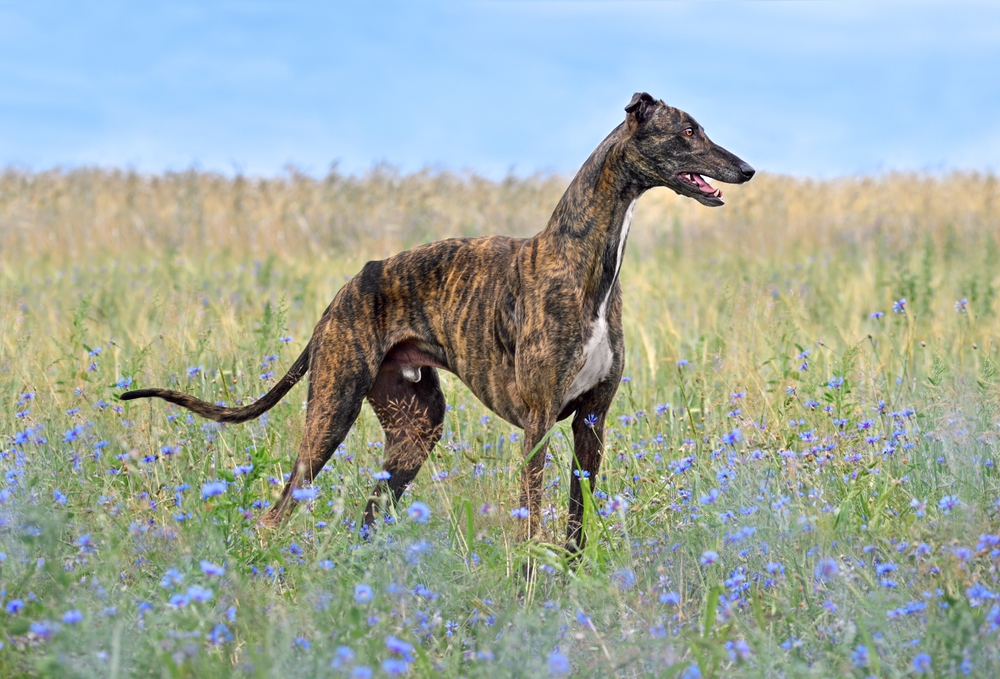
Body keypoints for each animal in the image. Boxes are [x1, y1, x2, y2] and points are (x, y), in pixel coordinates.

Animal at [121, 94, 752, 552]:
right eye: (688, 131)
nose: (747, 168)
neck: (582, 260)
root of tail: (341, 294)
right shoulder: (539, 422)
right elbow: (530, 523)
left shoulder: (590, 421)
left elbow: (577, 527)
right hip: (332, 410)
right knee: (275, 515)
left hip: (414, 432)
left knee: (367, 518)